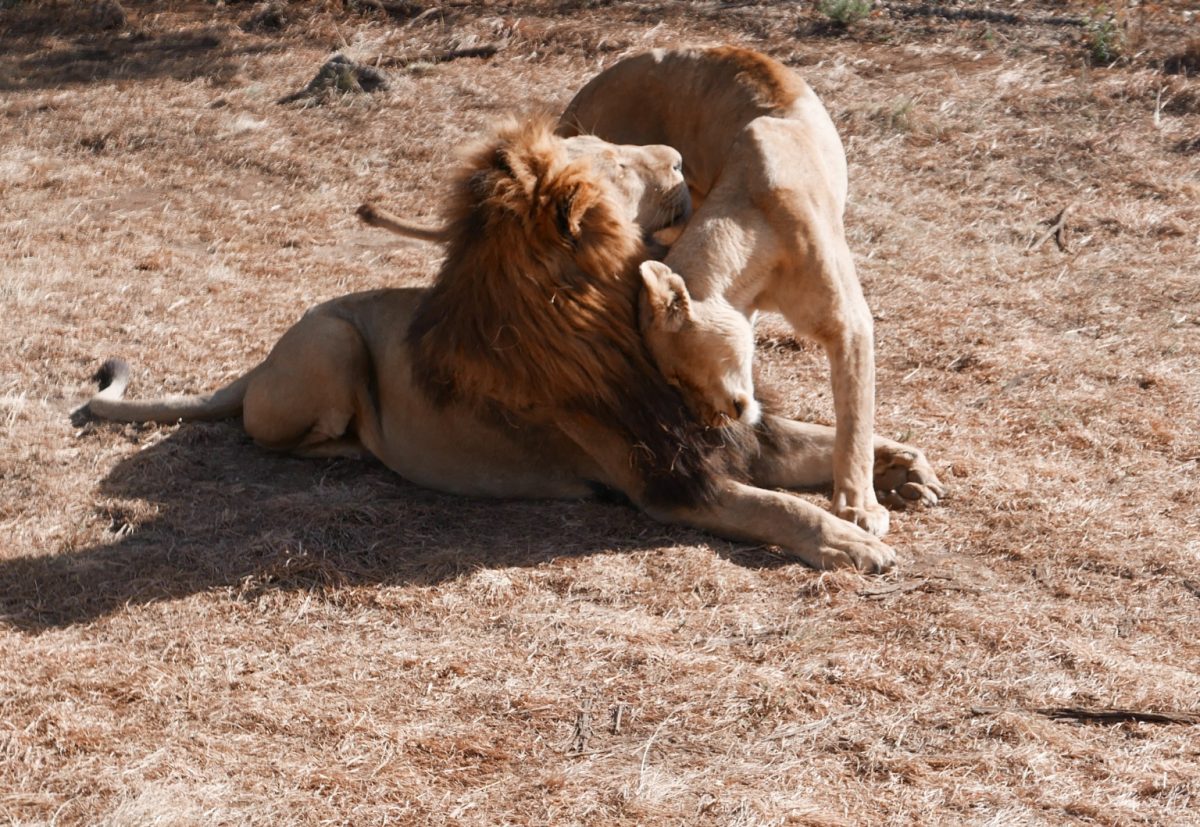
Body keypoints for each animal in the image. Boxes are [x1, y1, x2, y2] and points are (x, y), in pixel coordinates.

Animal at [79, 117, 939, 571]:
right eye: (621, 163)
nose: (678, 158)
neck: (606, 323)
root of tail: (254, 365)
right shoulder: (665, 480)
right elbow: (776, 508)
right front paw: (848, 540)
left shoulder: (728, 437)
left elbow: (824, 440)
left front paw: (901, 471)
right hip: (330, 341)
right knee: (281, 436)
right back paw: (354, 449)